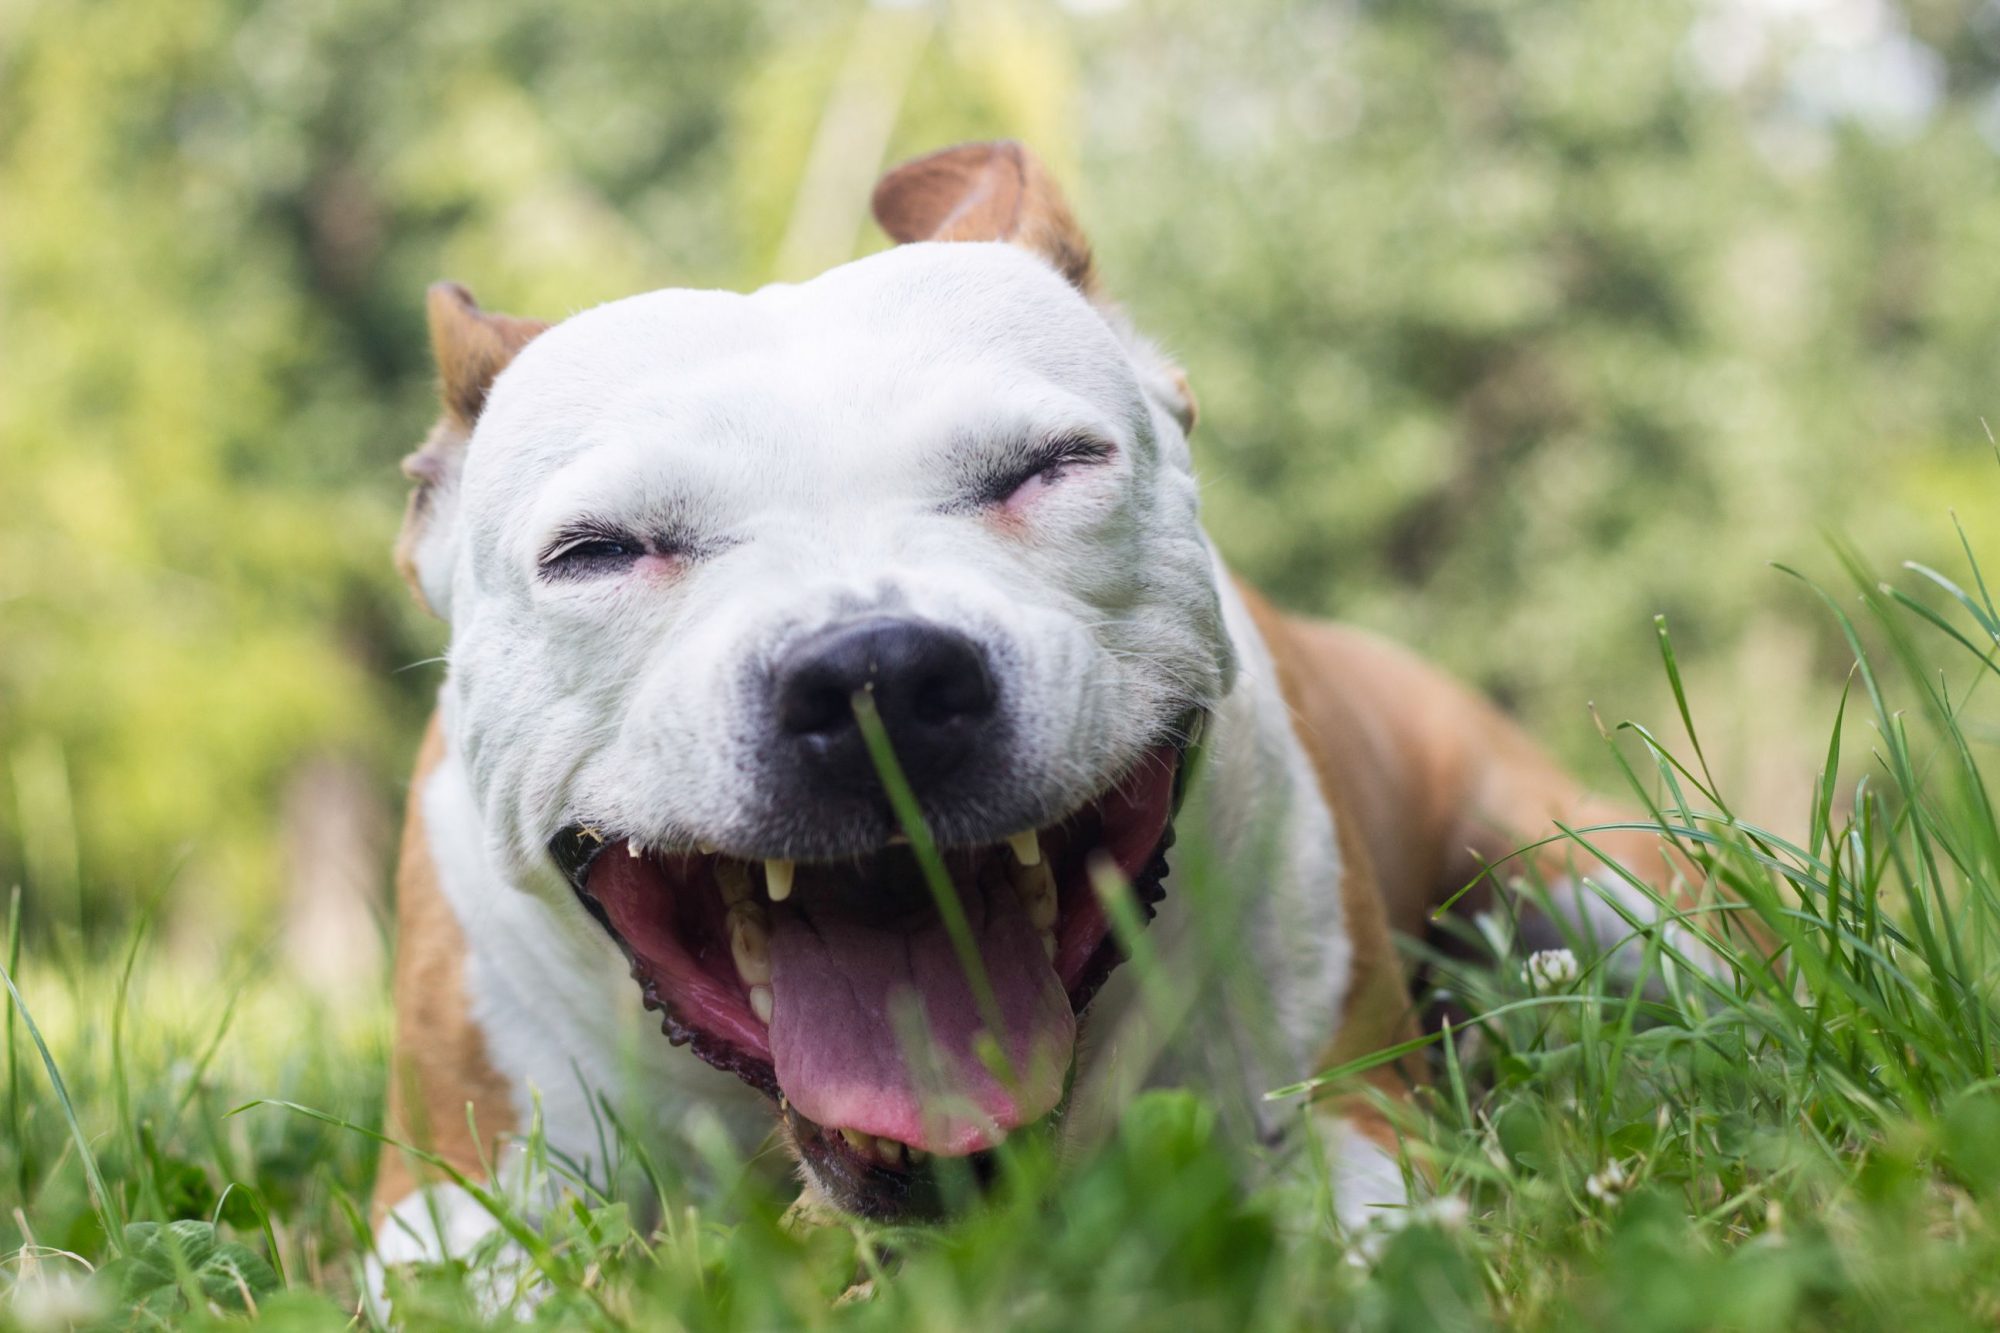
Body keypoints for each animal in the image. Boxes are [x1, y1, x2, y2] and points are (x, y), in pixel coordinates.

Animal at [368, 140, 1696, 1272]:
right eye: (596, 551)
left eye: (1051, 467)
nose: (875, 676)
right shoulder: (447, 1195)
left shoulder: (1342, 1106)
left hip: (1602, 883)